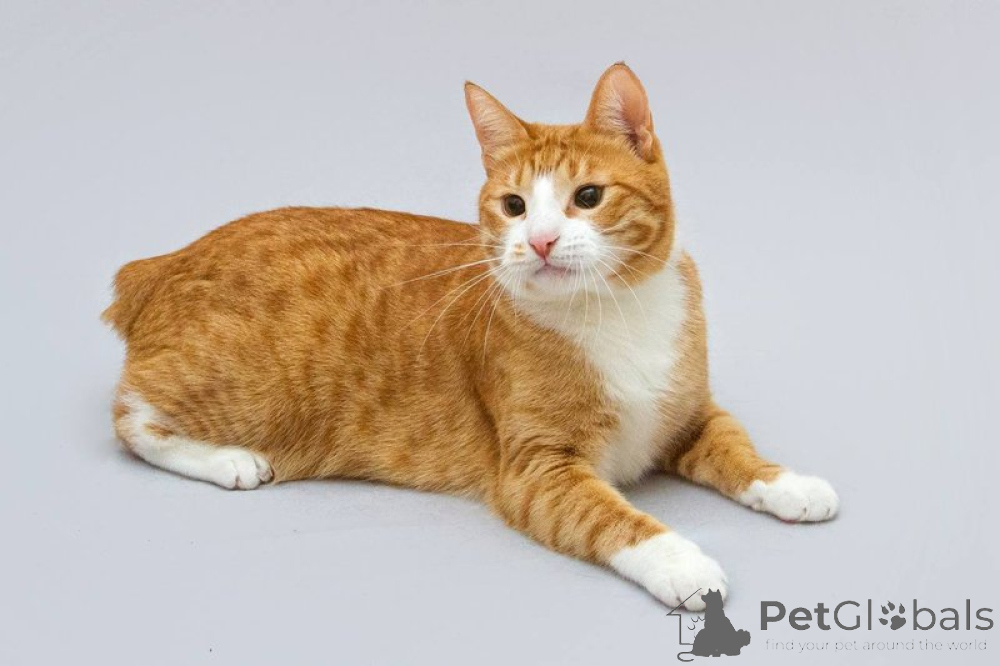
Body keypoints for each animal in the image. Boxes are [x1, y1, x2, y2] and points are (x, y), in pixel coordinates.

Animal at [103, 63, 839, 611]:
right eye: (514, 206)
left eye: (588, 197)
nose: (539, 240)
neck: (613, 314)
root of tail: (169, 259)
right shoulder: (539, 470)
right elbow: (616, 520)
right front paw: (683, 560)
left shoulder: (690, 415)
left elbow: (739, 450)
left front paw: (790, 484)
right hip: (241, 388)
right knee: (131, 418)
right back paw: (229, 461)